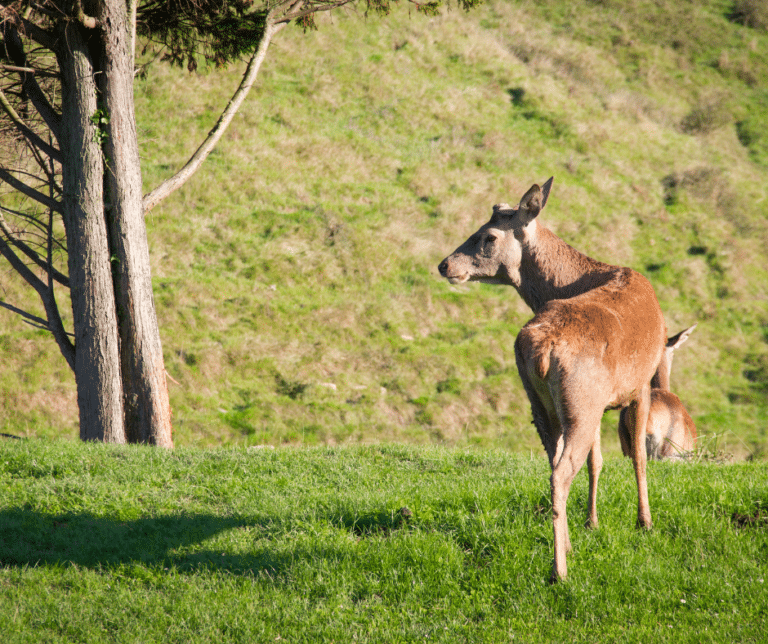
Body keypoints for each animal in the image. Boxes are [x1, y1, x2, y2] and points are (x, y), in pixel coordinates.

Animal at [438, 177, 664, 584]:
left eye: (487, 236)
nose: (445, 264)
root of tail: (542, 347)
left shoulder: (607, 399)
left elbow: (598, 460)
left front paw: (592, 521)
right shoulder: (639, 385)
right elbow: (638, 455)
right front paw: (644, 523)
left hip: (545, 403)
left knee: (554, 464)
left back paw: (568, 545)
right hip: (580, 400)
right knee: (560, 473)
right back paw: (560, 569)